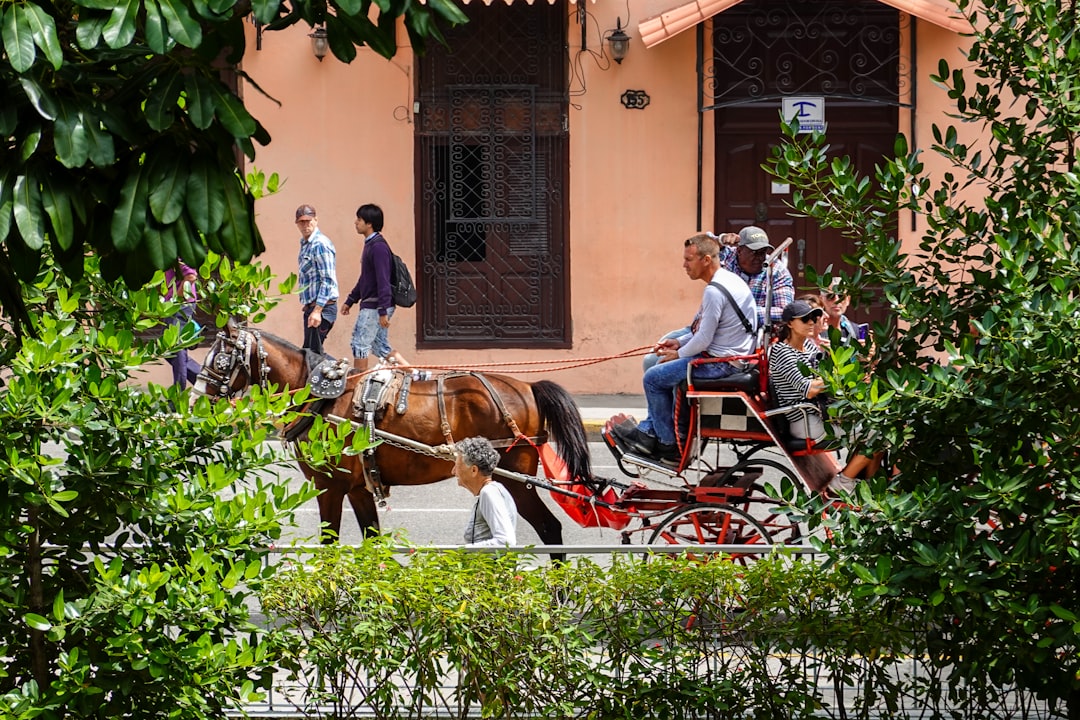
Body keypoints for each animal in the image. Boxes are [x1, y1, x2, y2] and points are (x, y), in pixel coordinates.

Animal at [198, 321, 596, 546]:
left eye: (221, 358)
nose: (198, 396)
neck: (321, 397)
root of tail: (528, 387)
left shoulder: (329, 485)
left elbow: (328, 544)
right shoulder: (358, 488)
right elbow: (373, 543)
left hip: (515, 479)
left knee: (550, 529)